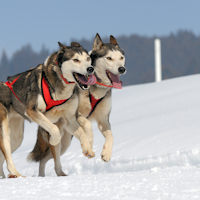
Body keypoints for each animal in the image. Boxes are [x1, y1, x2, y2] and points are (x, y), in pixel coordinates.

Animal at [0, 41, 96, 177]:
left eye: (88, 59)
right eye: (76, 60)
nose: (90, 69)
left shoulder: (69, 119)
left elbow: (82, 132)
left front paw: (88, 149)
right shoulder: (33, 111)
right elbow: (54, 130)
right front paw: (54, 140)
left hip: (17, 137)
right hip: (4, 131)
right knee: (8, 156)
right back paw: (17, 174)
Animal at [28, 34, 125, 177]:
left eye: (121, 57)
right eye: (109, 58)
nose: (122, 69)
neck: (94, 88)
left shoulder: (103, 120)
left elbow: (110, 136)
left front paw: (106, 154)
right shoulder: (77, 115)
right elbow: (88, 125)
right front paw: (89, 143)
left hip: (65, 142)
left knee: (46, 159)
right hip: (59, 141)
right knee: (46, 158)